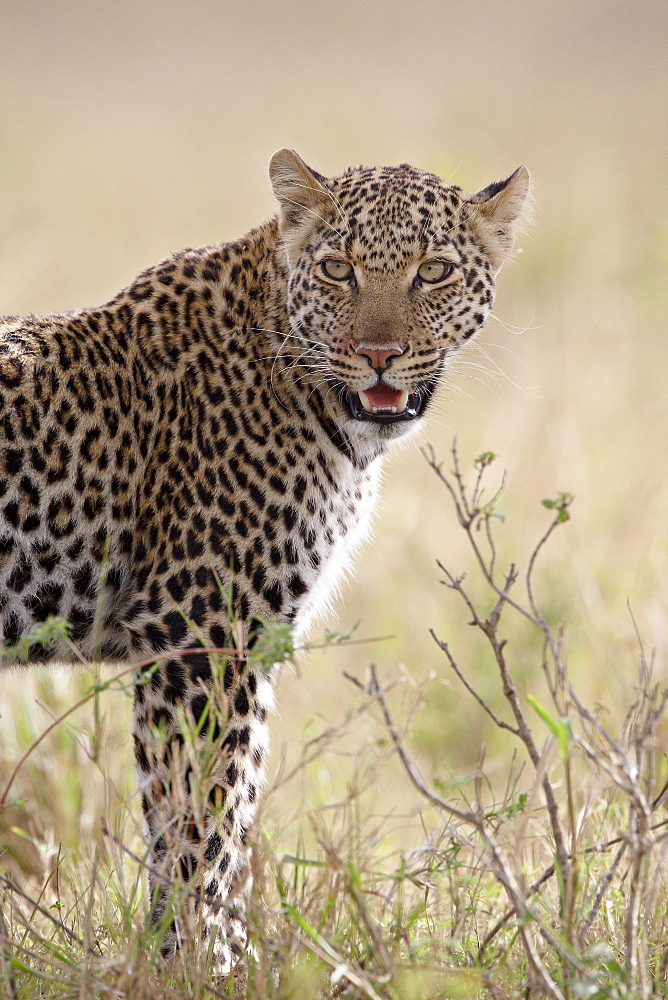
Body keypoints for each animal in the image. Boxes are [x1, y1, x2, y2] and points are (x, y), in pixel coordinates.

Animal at [1, 148, 532, 976]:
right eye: (340, 270)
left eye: (434, 271)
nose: (379, 357)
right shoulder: (198, 634)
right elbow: (201, 825)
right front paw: (200, 969)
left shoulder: (245, 642)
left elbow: (228, 812)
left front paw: (215, 962)